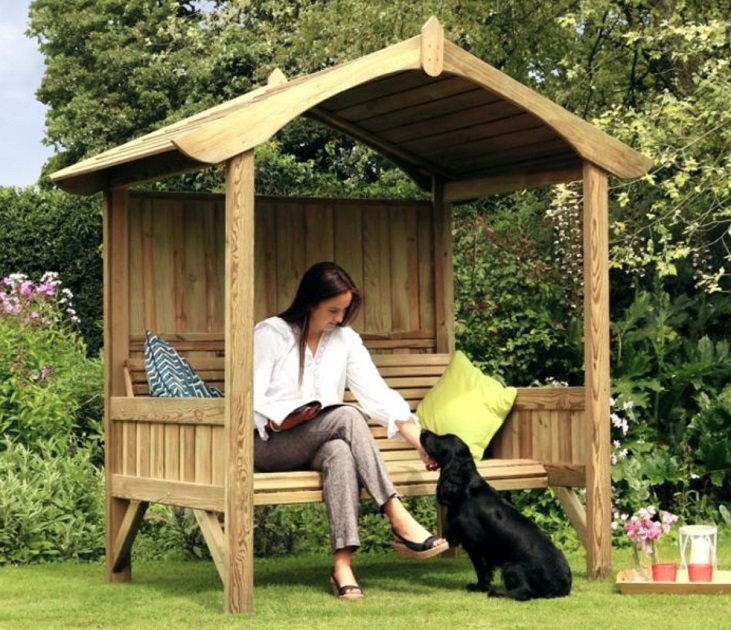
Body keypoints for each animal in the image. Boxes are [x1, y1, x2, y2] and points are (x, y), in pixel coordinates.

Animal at [424, 430, 572, 604]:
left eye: (441, 439)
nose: (423, 431)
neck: (464, 489)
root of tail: (563, 586)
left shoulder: (476, 543)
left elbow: (481, 569)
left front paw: (479, 587)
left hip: (511, 566)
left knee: (524, 592)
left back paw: (496, 593)